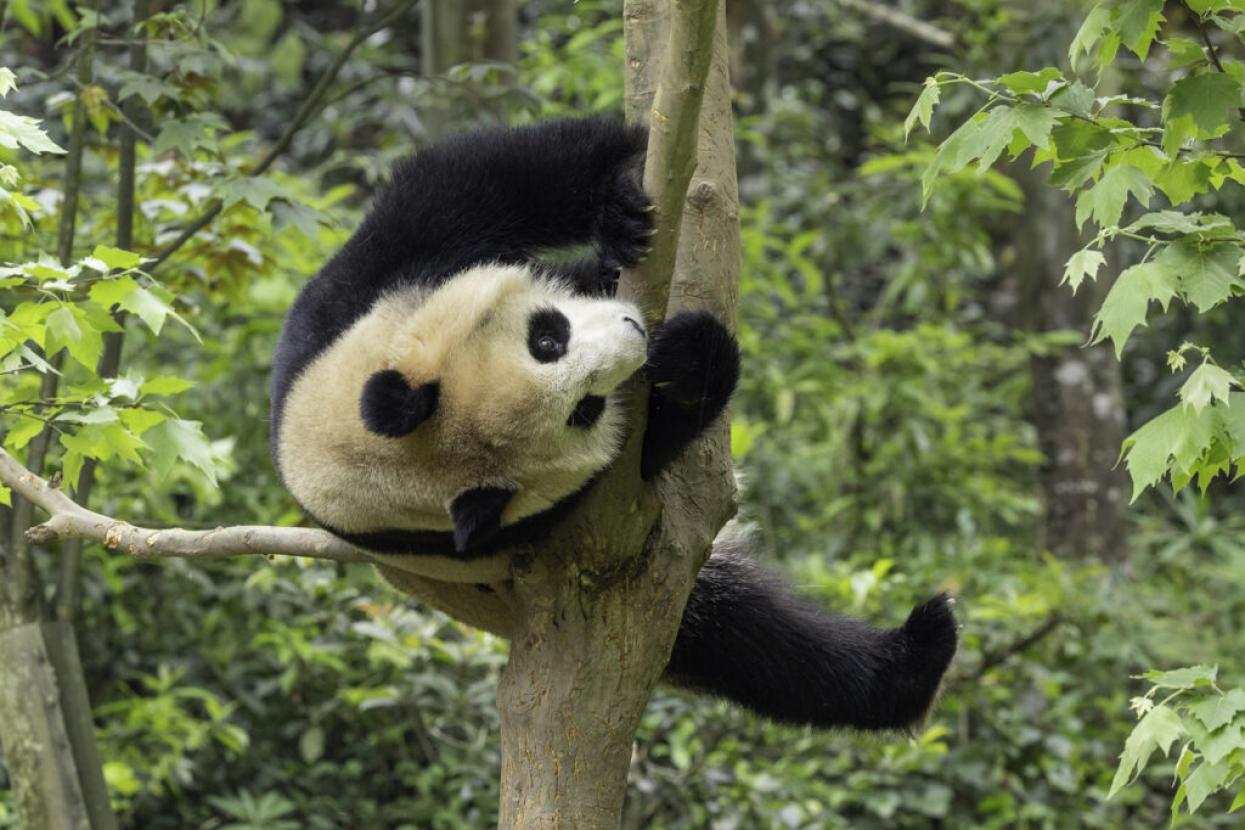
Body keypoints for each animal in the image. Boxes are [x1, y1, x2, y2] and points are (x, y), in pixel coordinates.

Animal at [270, 116, 958, 730]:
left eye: (545, 339)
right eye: (584, 410)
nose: (634, 333)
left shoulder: (352, 302)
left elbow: (493, 176)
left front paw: (621, 204)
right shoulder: (529, 522)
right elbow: (648, 458)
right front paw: (692, 362)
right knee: (762, 647)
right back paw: (917, 656)